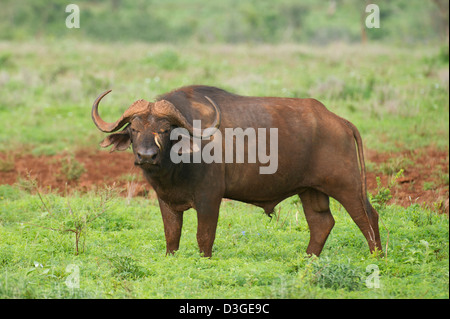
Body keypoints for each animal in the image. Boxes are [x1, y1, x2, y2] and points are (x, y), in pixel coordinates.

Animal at [93, 86, 382, 258]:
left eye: (165, 130)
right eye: (133, 129)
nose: (146, 156)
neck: (176, 167)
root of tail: (339, 121)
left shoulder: (209, 198)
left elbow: (204, 237)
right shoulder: (167, 201)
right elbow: (171, 237)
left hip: (347, 185)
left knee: (367, 216)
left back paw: (377, 256)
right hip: (311, 190)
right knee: (322, 223)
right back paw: (308, 258)